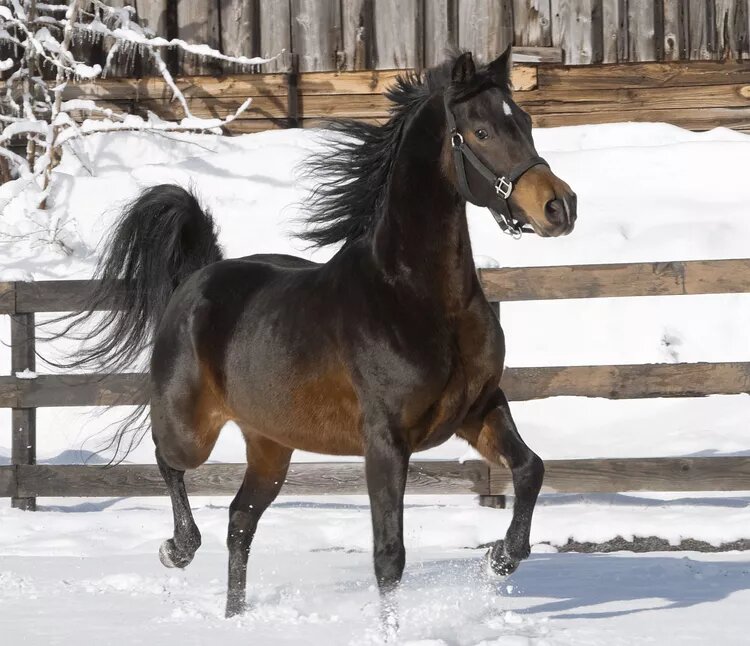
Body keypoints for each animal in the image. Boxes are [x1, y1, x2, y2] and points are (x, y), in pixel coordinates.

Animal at [70, 49, 580, 632]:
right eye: (481, 130)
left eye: (526, 121)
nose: (560, 207)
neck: (417, 297)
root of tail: (196, 278)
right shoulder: (385, 440)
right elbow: (389, 554)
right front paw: (391, 634)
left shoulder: (479, 410)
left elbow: (530, 470)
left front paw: (501, 558)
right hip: (191, 429)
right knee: (168, 461)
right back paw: (176, 549)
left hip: (270, 445)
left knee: (240, 519)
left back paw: (234, 616)